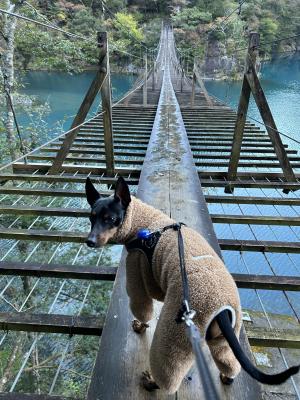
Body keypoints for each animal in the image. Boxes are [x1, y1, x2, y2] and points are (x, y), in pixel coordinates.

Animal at [85, 177, 300, 394]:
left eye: (111, 219)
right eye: (91, 217)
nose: (89, 241)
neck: (142, 223)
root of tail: (222, 309)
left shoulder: (137, 279)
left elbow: (143, 312)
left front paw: (140, 325)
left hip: (173, 336)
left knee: (168, 376)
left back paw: (151, 381)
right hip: (223, 339)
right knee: (231, 364)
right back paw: (227, 377)